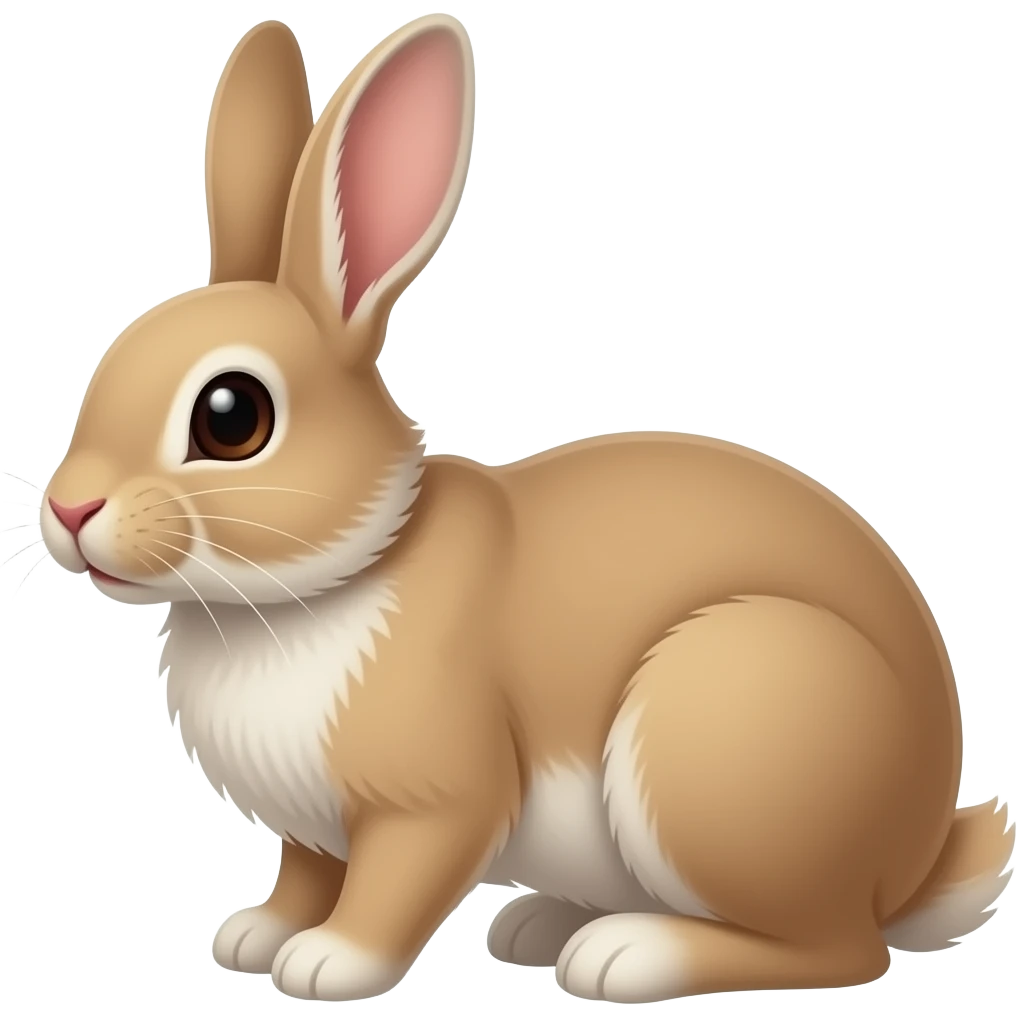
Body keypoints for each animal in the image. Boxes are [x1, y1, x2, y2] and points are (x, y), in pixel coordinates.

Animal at [33, 13, 1012, 1006]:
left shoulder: (432, 801)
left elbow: (391, 885)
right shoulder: (312, 827)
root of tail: (916, 856)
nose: (70, 509)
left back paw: (624, 952)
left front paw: (327, 961)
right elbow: (304, 874)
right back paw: (540, 924)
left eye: (232, 417)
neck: (333, 575)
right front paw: (253, 935)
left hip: (720, 732)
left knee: (837, 949)